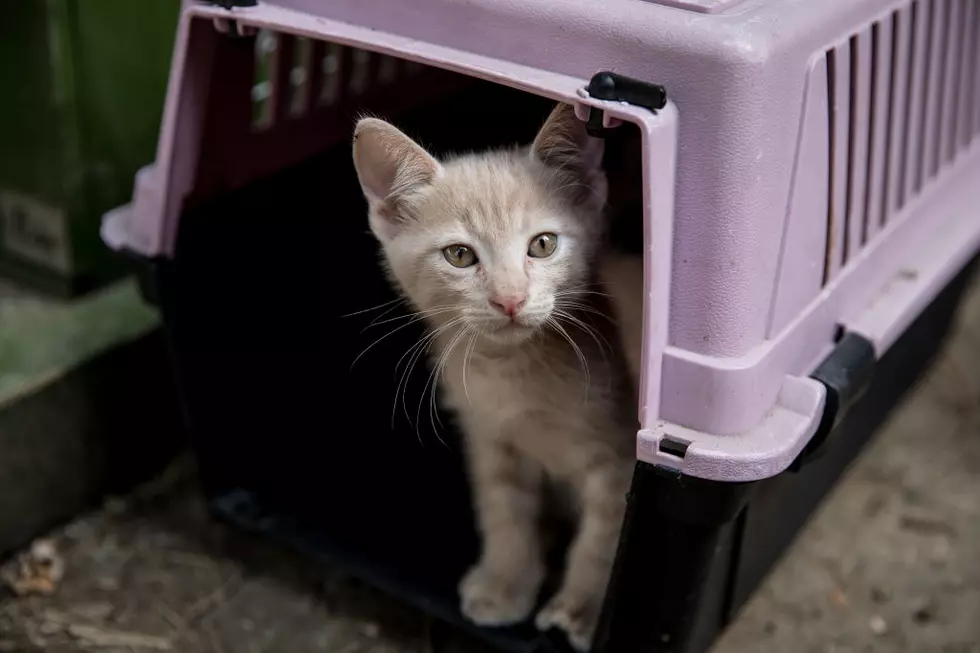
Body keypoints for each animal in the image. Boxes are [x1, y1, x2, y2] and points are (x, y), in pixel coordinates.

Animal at [352, 104, 636, 648]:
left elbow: (603, 540)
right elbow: (504, 513)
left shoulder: (620, 457)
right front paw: (506, 585)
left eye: (542, 245)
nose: (510, 299)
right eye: (460, 255)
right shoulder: (489, 438)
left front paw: (582, 610)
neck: (512, 373)